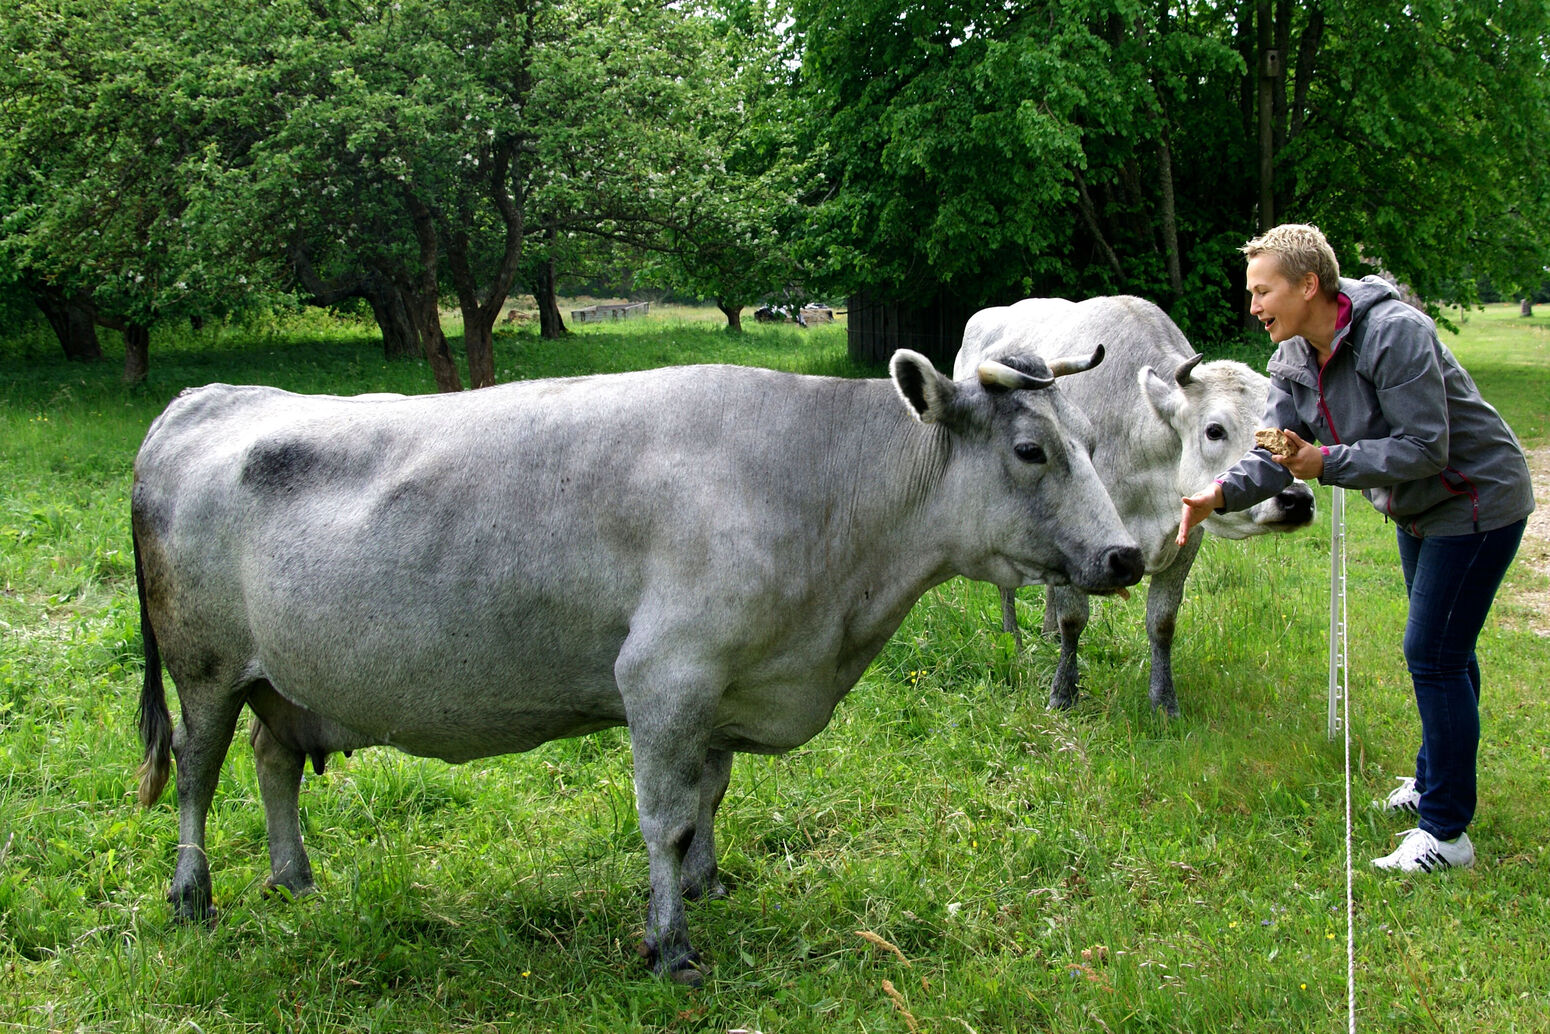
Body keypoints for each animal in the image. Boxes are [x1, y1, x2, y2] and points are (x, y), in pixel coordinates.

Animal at [133, 351, 1147, 985]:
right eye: (1030, 450)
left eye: (1091, 445)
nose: (1126, 557)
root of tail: (203, 399)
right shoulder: (664, 676)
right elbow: (665, 817)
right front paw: (670, 943)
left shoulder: (726, 687)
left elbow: (710, 795)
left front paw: (708, 882)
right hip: (205, 667)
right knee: (196, 770)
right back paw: (193, 896)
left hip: (281, 681)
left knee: (271, 761)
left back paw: (293, 877)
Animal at [948, 299, 1314, 716]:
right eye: (1214, 430)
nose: (1297, 500)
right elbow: (1074, 617)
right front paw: (1063, 692)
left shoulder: (1187, 540)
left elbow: (1162, 622)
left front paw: (1164, 700)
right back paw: (1015, 637)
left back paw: (1048, 633)